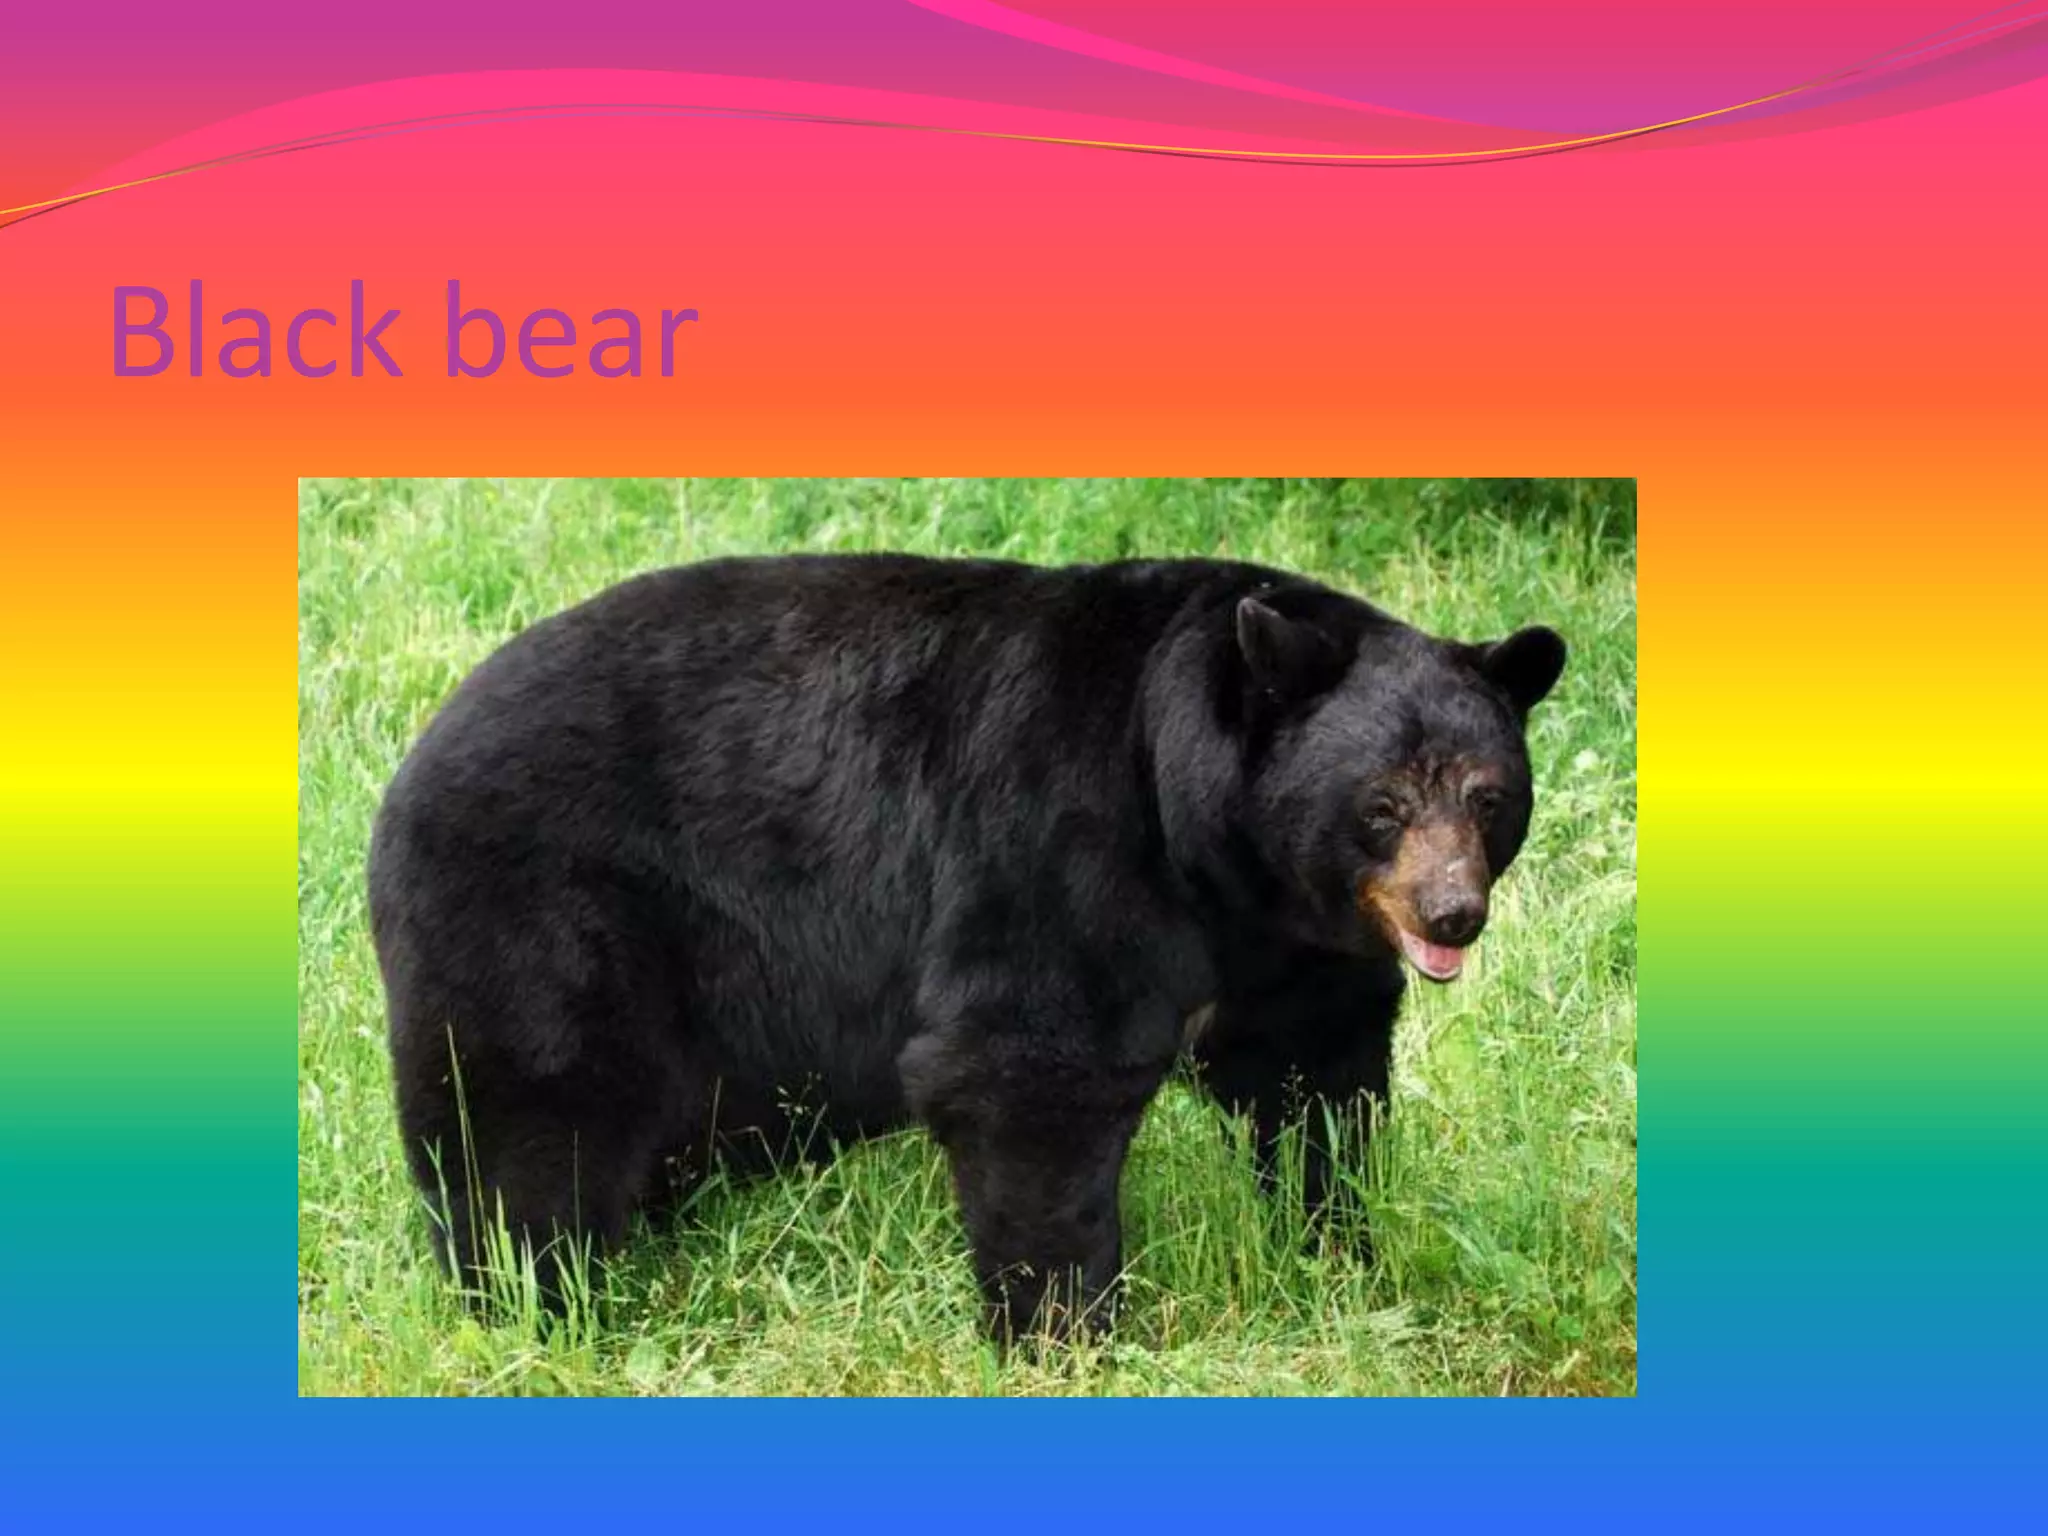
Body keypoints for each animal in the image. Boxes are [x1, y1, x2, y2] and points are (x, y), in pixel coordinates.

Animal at [367, 553, 1565, 1340]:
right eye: (1380, 803)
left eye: (1487, 796)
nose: (1451, 914)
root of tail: (411, 764)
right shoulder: (1062, 837)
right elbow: (1026, 1065)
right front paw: (1066, 1330)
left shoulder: (1289, 946)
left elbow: (1317, 1079)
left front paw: (1338, 1253)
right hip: (546, 913)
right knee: (528, 1114)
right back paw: (534, 1300)